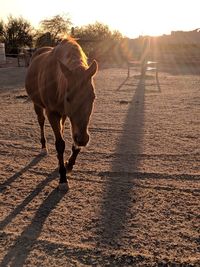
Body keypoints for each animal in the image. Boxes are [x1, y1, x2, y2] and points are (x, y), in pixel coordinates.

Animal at [25, 38, 98, 192]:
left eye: (93, 97)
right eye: (68, 98)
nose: (83, 139)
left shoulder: (73, 120)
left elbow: (72, 142)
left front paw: (68, 164)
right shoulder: (52, 113)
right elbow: (60, 144)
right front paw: (63, 179)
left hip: (63, 115)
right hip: (37, 105)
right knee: (41, 122)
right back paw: (43, 148)